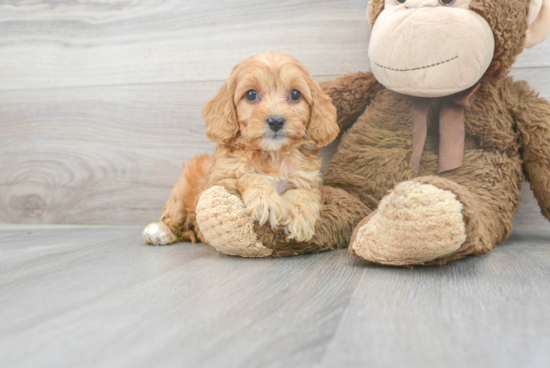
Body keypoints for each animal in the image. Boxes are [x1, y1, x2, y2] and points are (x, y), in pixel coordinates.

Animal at [142, 51, 340, 247]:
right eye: (251, 94)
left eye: (295, 94)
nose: (276, 121)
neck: (271, 156)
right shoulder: (217, 182)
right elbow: (247, 176)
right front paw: (266, 201)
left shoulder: (307, 178)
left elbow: (303, 192)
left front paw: (299, 215)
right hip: (181, 190)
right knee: (172, 217)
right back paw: (158, 232)